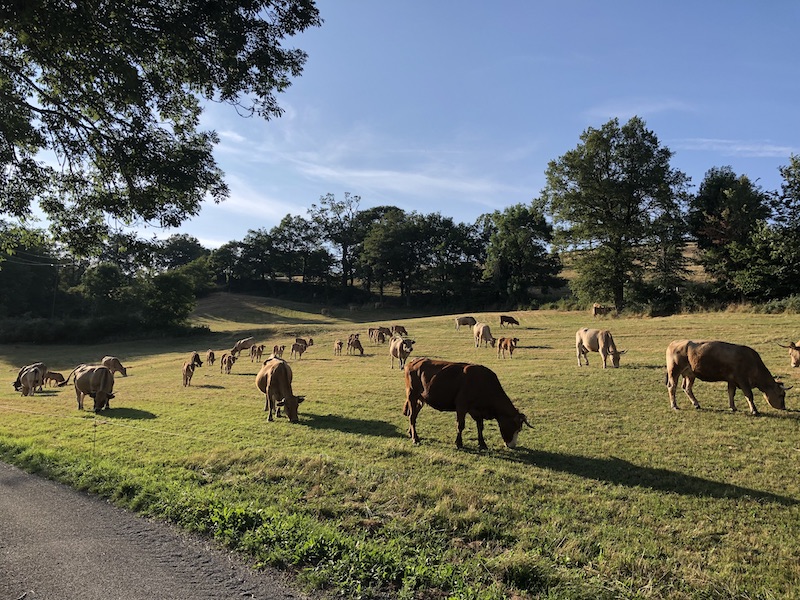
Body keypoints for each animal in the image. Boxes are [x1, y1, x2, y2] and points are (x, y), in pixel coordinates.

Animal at [403, 358, 532, 449]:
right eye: (516, 427)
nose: (512, 446)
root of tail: (413, 361)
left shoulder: (475, 410)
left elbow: (480, 426)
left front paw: (482, 443)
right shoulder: (461, 407)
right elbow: (460, 425)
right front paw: (459, 443)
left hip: (421, 400)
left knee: (414, 415)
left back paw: (411, 433)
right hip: (412, 395)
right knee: (412, 417)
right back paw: (415, 439)